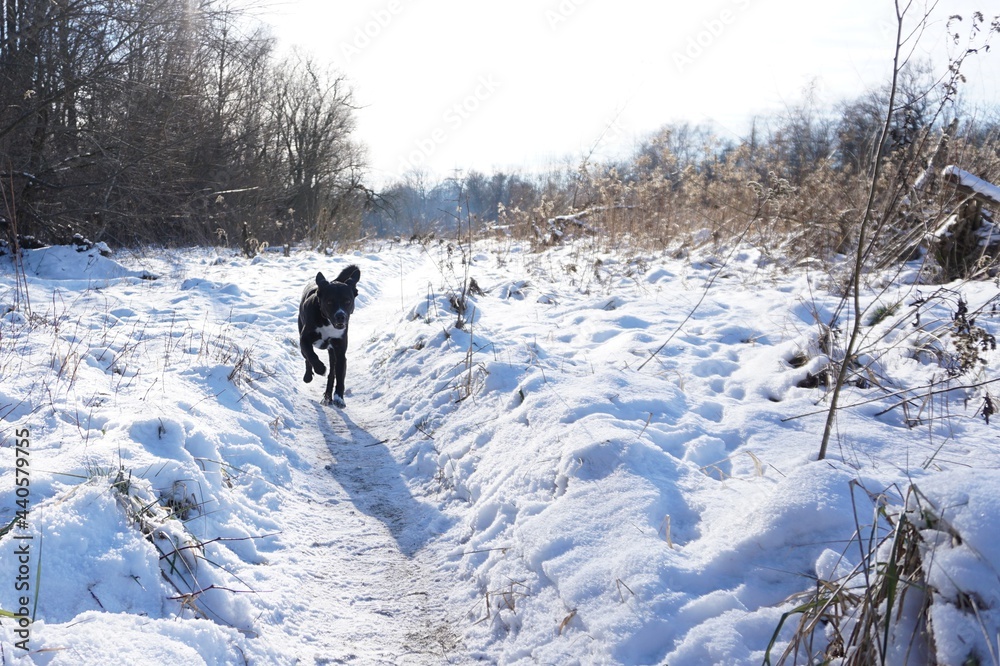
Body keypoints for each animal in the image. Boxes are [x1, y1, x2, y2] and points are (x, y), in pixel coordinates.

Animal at [296, 264, 360, 404]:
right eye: (330, 302)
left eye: (347, 301)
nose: (340, 316)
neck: (327, 322)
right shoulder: (304, 339)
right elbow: (311, 355)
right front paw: (320, 368)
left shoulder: (340, 350)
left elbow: (340, 375)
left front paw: (339, 397)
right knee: (306, 358)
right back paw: (308, 376)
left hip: (332, 353)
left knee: (332, 373)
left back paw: (328, 396)